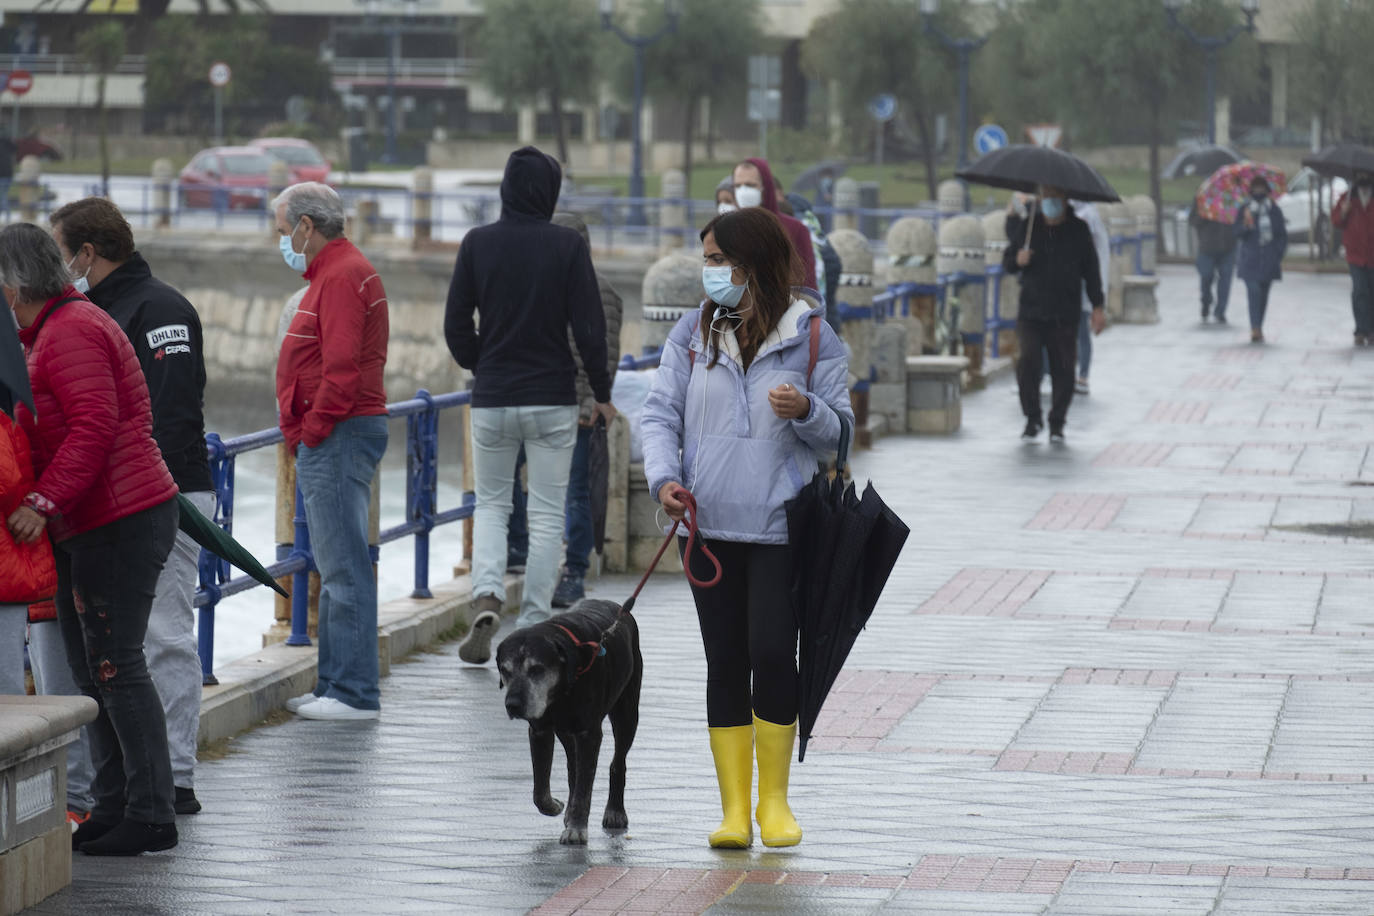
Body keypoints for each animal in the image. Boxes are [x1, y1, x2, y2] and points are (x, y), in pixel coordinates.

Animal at [494, 601, 643, 845]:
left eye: (537, 669)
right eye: (505, 670)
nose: (513, 704)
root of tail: (620, 608)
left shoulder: (589, 733)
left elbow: (584, 787)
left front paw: (576, 829)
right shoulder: (540, 731)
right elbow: (540, 788)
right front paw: (554, 806)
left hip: (627, 712)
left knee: (617, 762)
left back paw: (615, 811)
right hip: (566, 732)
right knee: (573, 767)